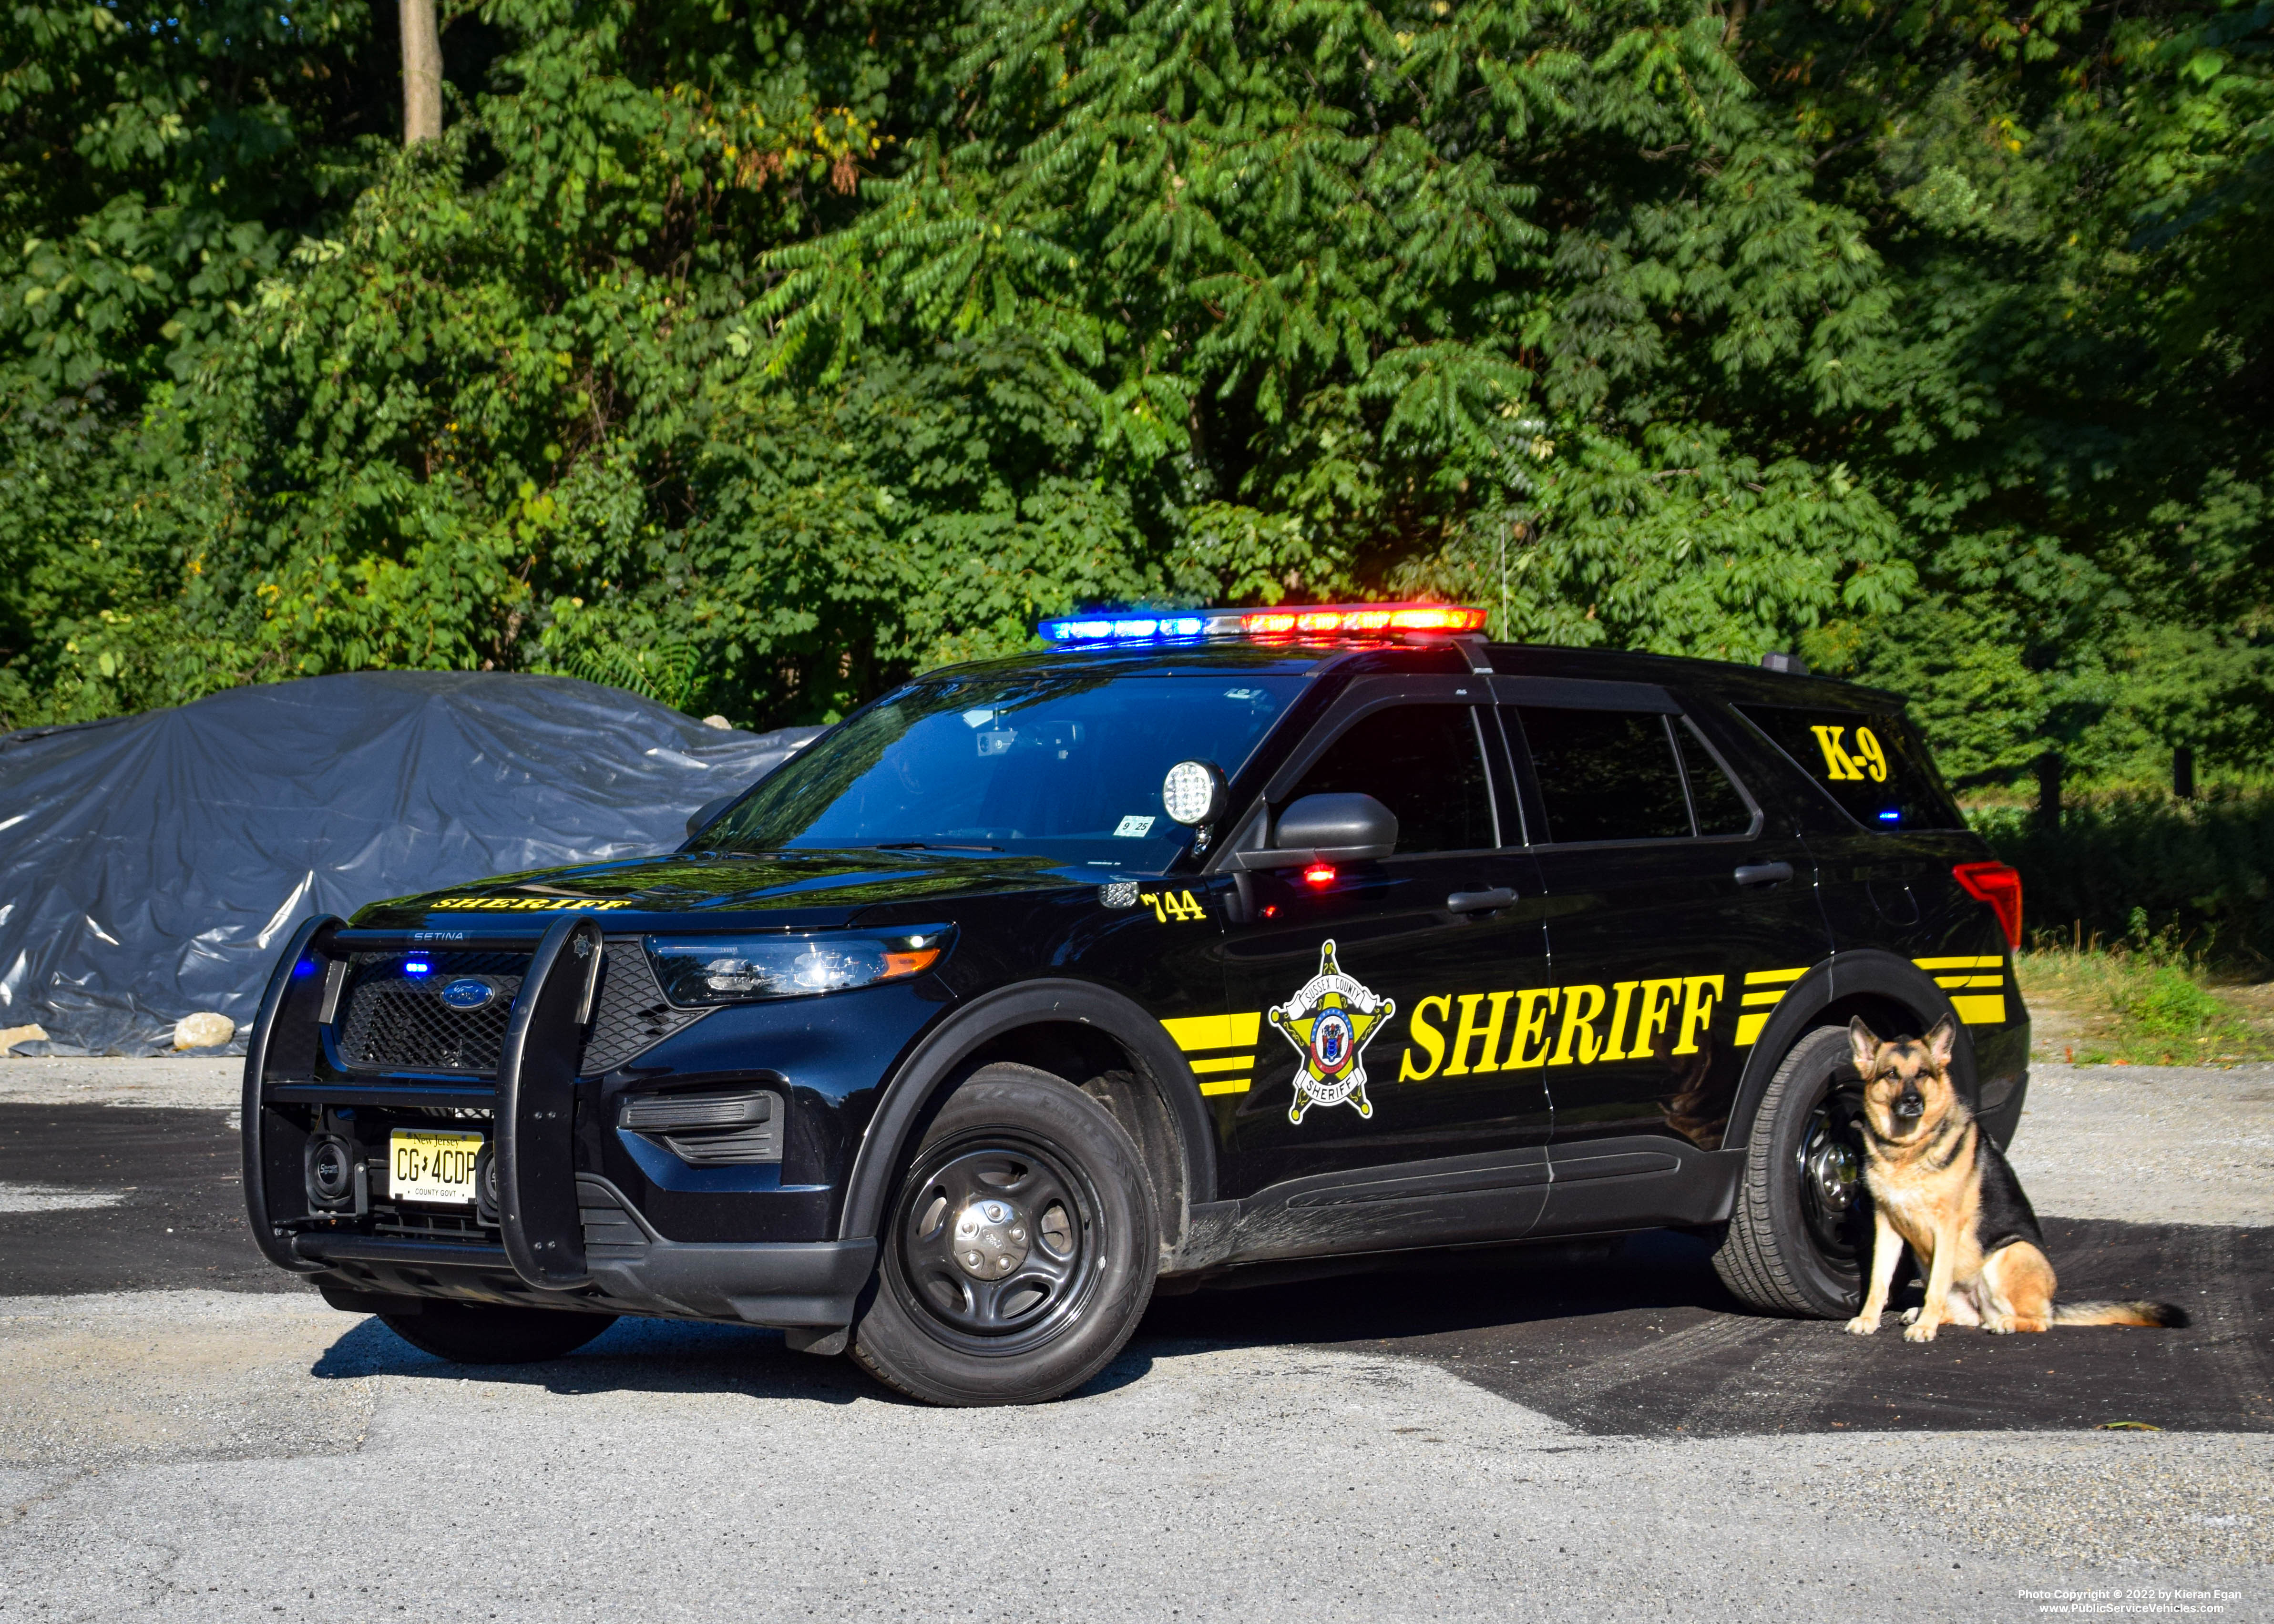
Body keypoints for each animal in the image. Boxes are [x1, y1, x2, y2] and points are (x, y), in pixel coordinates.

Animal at [1828, 1010, 2183, 1337]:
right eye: (1891, 1074)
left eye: (1923, 1074)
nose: (1914, 1101)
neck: (1908, 1149)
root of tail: (2053, 1303)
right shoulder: (1887, 1226)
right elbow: (1879, 1281)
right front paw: (1869, 1320)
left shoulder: (1946, 1226)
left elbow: (1936, 1287)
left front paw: (1925, 1328)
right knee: (1968, 1315)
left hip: (2008, 1255)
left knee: (2038, 1321)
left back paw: (2002, 1323)